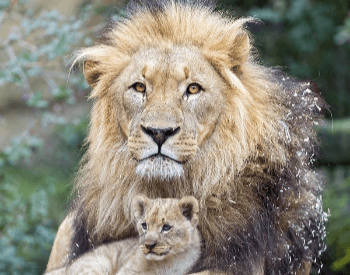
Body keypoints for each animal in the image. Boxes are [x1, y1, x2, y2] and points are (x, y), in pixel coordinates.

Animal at [45, 196, 201, 275]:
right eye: (144, 225)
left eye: (166, 227)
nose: (148, 245)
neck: (165, 262)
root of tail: (68, 267)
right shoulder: (127, 271)